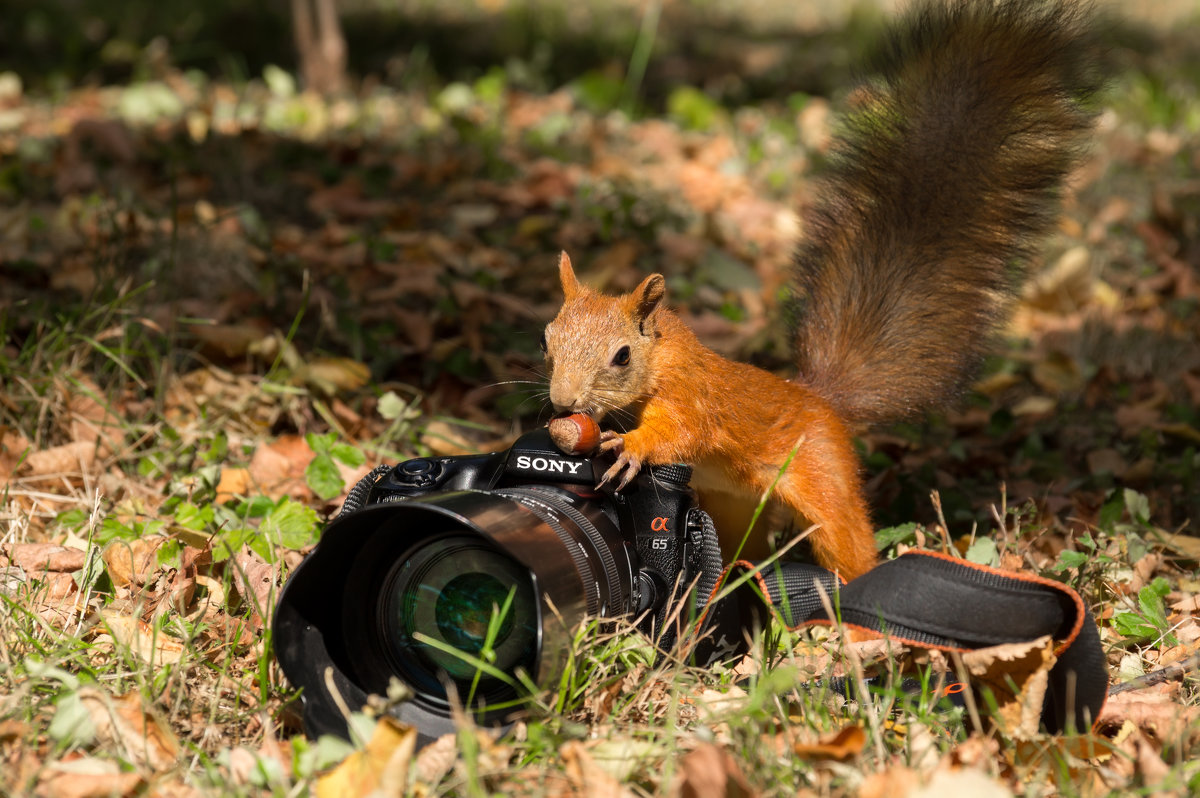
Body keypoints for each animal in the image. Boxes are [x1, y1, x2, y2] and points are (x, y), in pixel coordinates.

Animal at [542, 0, 1099, 576]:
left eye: (622, 356)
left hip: (827, 485)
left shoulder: (694, 395)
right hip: (733, 504)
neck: (664, 355)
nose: (561, 402)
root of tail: (820, 400)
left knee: (850, 544)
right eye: (547, 340)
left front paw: (632, 447)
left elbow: (679, 432)